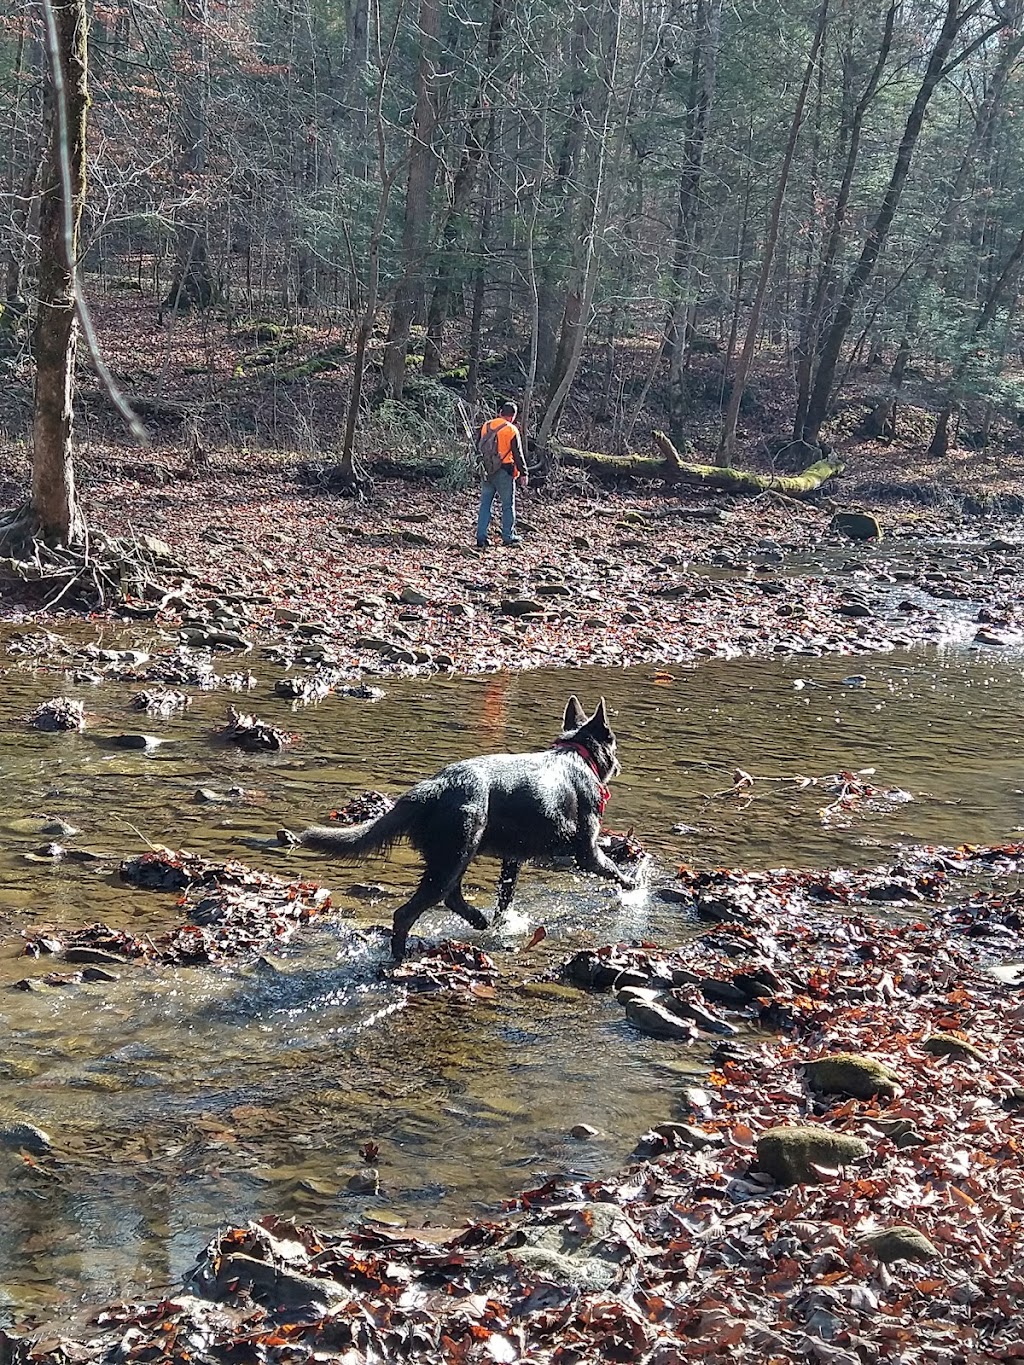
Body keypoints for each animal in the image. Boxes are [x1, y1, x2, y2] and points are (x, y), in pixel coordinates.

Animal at [299, 693, 633, 960]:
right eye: (615, 744)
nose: (619, 766)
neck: (578, 755)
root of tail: (433, 787)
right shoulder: (586, 852)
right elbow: (614, 869)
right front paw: (633, 885)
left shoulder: (513, 859)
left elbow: (505, 898)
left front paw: (501, 925)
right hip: (456, 853)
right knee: (408, 912)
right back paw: (400, 957)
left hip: (453, 856)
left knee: (452, 896)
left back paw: (478, 921)